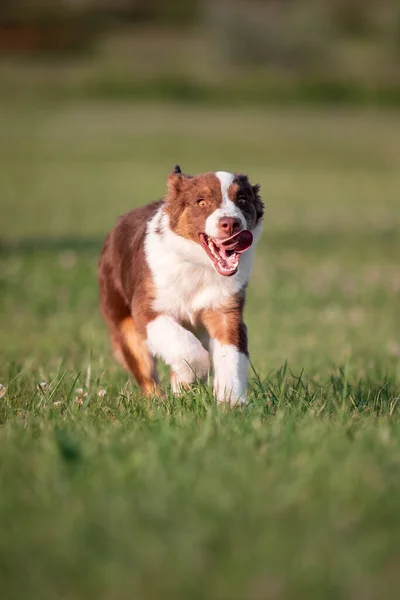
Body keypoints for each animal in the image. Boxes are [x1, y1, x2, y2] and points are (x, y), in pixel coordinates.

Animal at [98, 166, 264, 406]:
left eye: (242, 199)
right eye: (201, 202)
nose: (231, 223)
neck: (198, 266)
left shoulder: (226, 310)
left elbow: (231, 355)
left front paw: (231, 403)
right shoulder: (147, 309)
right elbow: (185, 349)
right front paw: (197, 374)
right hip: (124, 324)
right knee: (148, 378)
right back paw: (160, 403)